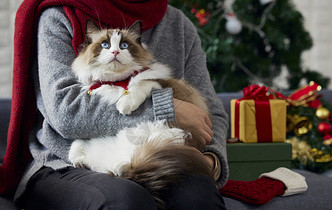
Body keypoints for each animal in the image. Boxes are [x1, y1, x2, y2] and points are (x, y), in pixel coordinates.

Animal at [68, 20, 213, 208]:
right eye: (105, 45)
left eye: (124, 45)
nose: (115, 52)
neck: (118, 82)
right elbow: (77, 140)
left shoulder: (161, 84)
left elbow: (140, 84)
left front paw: (125, 105)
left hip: (168, 137)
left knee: (131, 164)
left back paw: (120, 166)